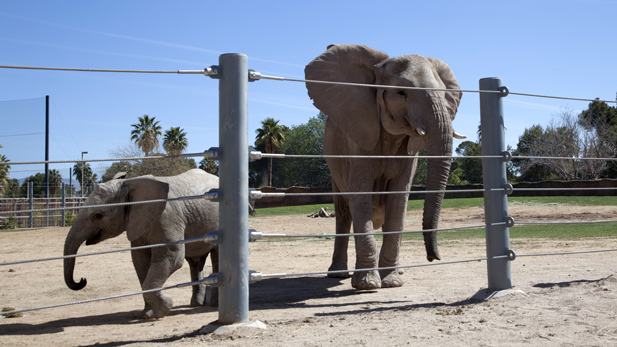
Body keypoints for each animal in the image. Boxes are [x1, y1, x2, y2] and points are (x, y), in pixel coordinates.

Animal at [62, 170, 220, 320]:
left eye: (98, 216)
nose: (82, 280)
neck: (129, 183)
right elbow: (140, 261)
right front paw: (147, 314)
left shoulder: (167, 218)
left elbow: (172, 257)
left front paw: (165, 308)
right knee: (194, 261)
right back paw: (196, 304)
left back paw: (214, 305)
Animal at [304, 44, 462, 290]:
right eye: (401, 93)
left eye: (444, 93)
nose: (433, 257)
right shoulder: (358, 138)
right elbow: (361, 198)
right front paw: (368, 285)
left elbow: (398, 201)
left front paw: (392, 282)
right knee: (343, 212)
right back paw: (337, 274)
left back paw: (398, 270)